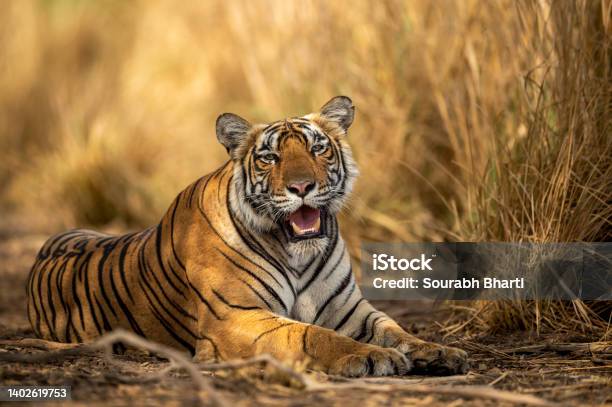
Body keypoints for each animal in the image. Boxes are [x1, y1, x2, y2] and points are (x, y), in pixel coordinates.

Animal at [26, 97, 468, 378]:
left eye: (318, 149)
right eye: (270, 157)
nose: (302, 187)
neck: (297, 253)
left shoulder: (349, 309)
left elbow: (393, 327)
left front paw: (438, 351)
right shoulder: (235, 316)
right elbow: (312, 334)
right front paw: (373, 357)